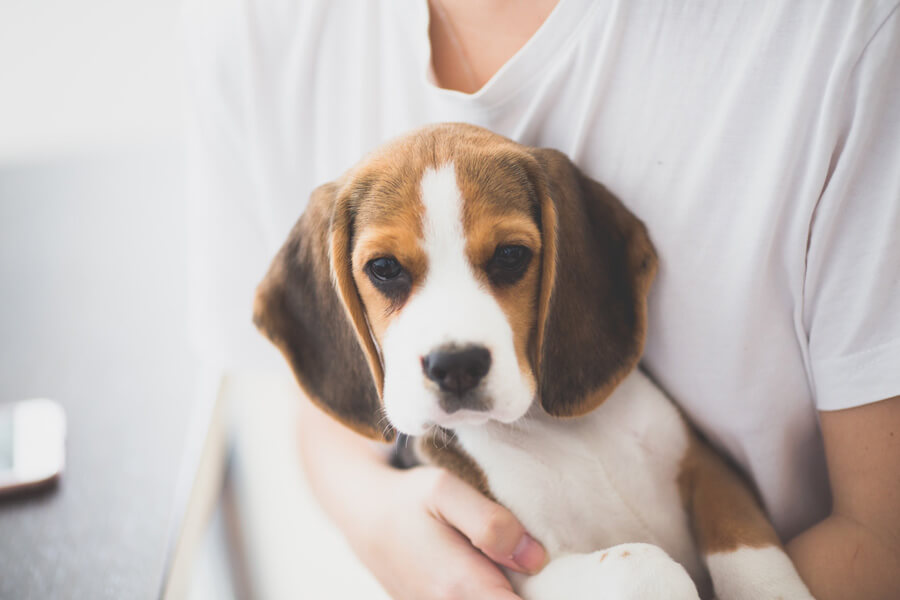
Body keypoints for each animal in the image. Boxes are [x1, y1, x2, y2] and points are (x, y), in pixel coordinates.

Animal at [253, 123, 816, 600]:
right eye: (385, 268)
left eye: (510, 256)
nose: (455, 365)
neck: (559, 432)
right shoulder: (526, 568)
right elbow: (646, 564)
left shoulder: (704, 466)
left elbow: (750, 550)